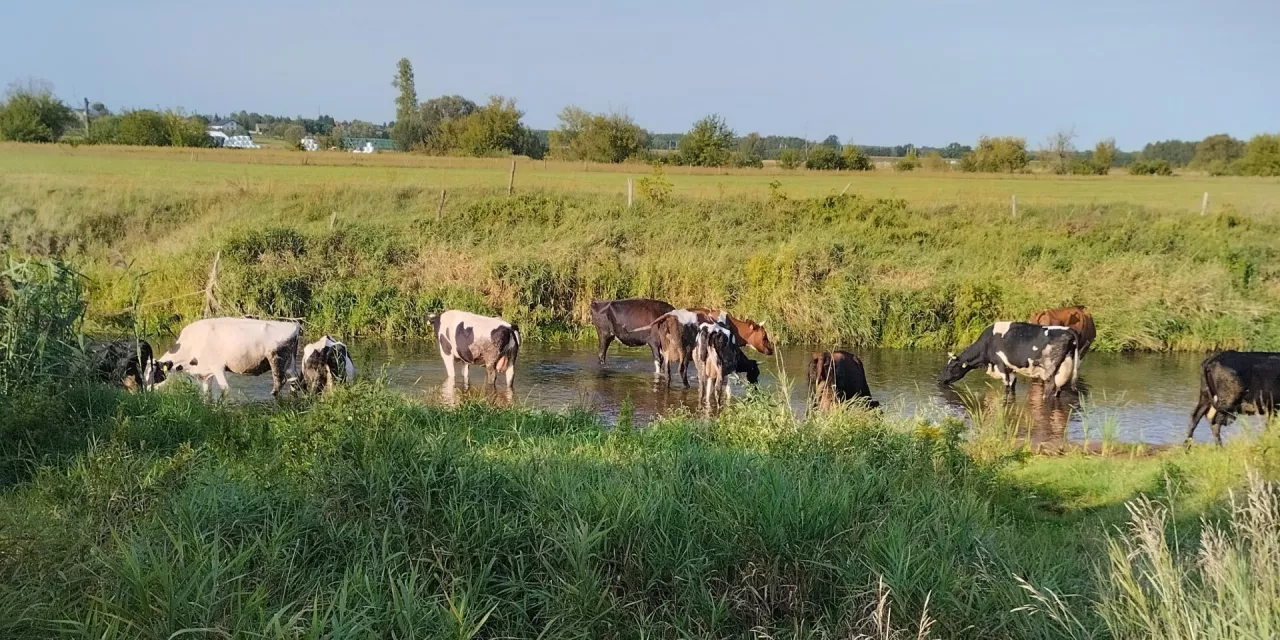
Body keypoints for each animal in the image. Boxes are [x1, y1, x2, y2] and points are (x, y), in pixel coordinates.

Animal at [155, 316, 302, 399]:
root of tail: (293, 325)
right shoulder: (204, 373)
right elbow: (207, 393)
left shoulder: (217, 367)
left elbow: (224, 389)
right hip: (290, 364)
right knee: (295, 382)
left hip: (276, 360)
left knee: (279, 384)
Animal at [942, 322, 1080, 396]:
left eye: (951, 367)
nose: (941, 379)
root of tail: (1068, 330)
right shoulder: (1011, 368)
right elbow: (1013, 386)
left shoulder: (1000, 364)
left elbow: (1007, 386)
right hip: (1064, 369)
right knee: (1058, 389)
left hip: (1050, 369)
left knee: (1050, 387)